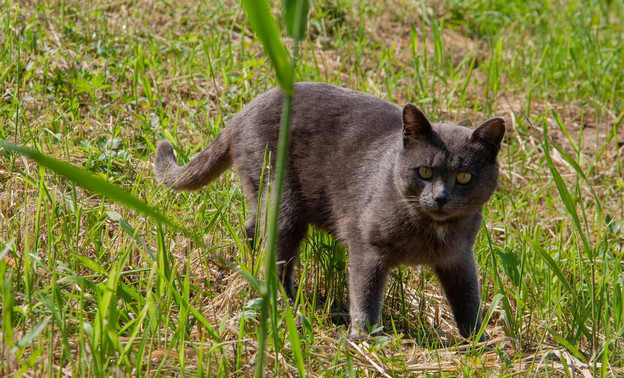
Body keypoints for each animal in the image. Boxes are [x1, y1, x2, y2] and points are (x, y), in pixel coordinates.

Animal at [154, 82, 504, 340]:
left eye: (464, 177)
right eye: (425, 172)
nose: (441, 197)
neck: (431, 229)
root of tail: (243, 112)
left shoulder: (459, 257)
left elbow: (468, 298)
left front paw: (479, 340)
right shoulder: (367, 245)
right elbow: (365, 292)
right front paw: (365, 337)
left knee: (252, 228)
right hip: (283, 199)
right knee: (277, 254)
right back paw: (288, 306)